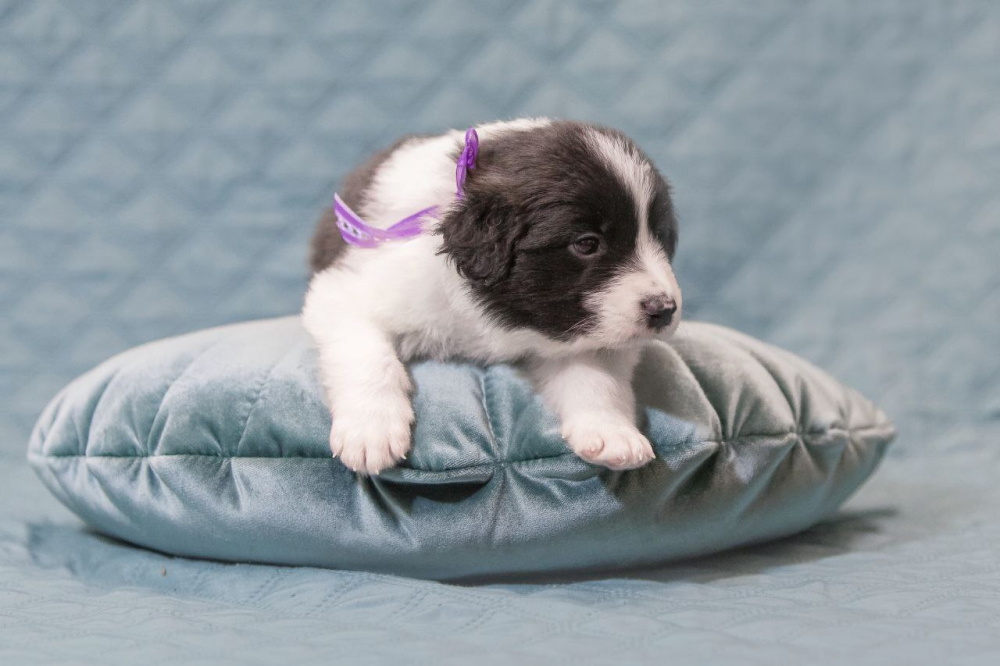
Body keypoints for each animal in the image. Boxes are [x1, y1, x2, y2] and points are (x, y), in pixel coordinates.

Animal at [303, 118, 681, 475]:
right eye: (587, 244)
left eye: (660, 237)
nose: (664, 309)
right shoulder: (345, 292)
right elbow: (368, 356)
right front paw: (371, 431)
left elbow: (595, 373)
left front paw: (612, 432)